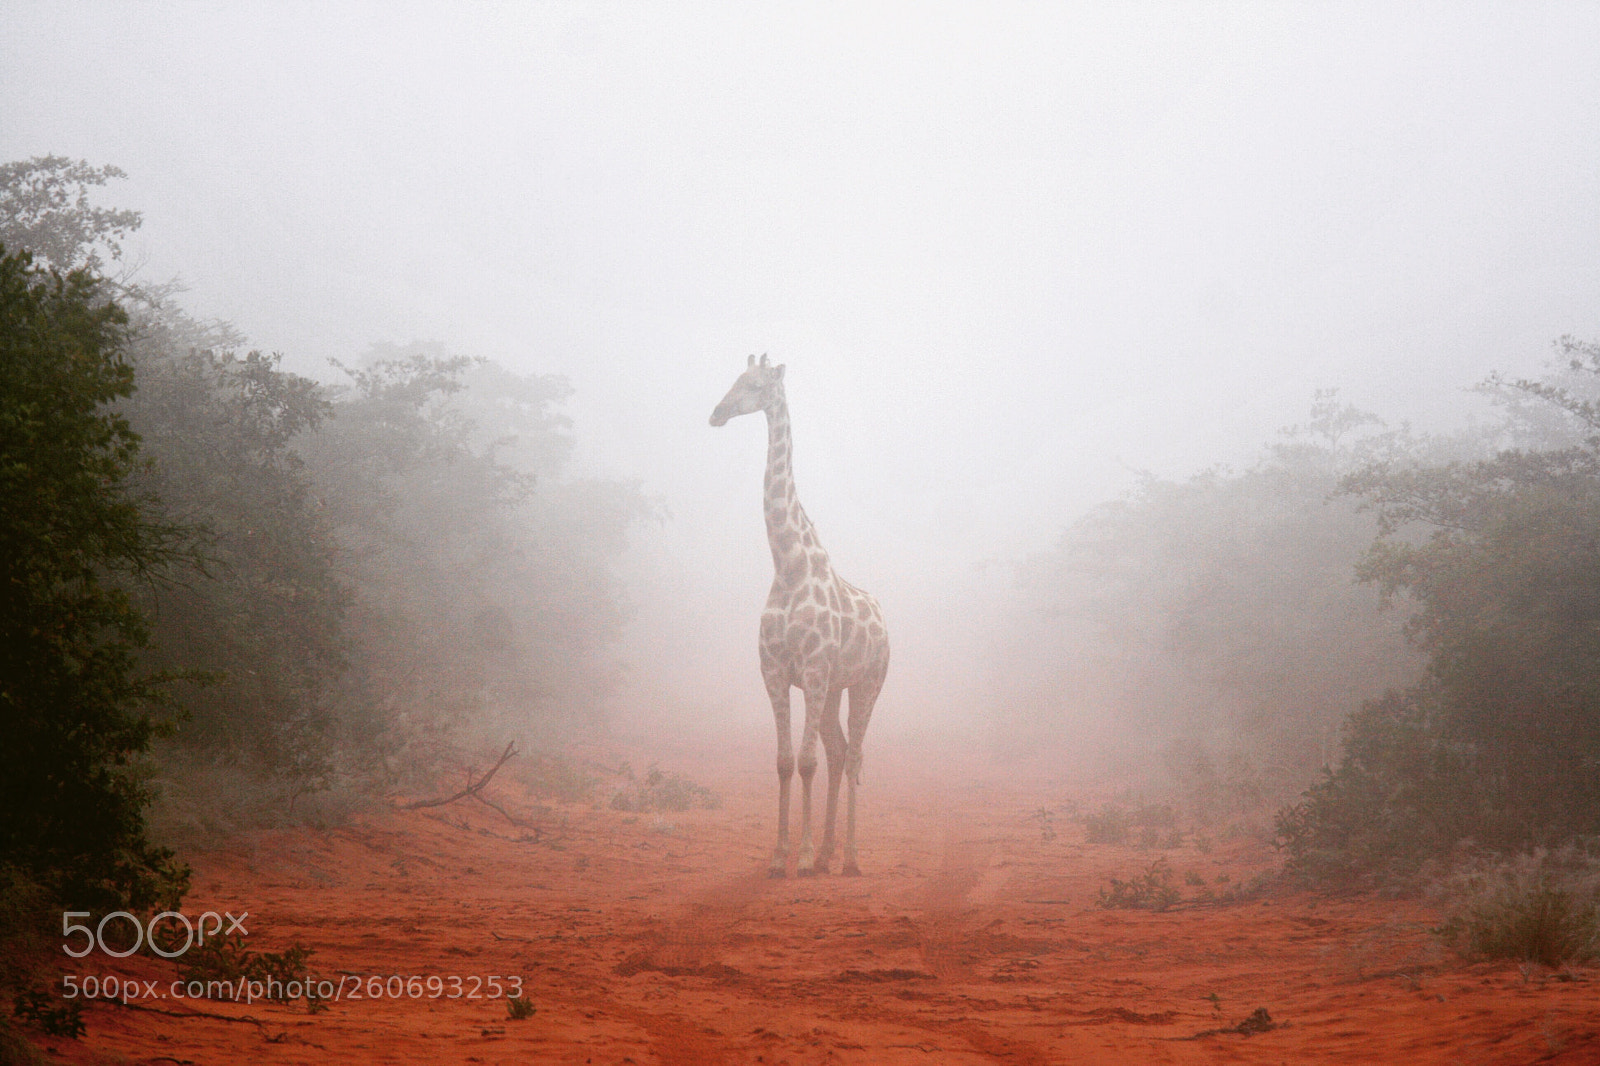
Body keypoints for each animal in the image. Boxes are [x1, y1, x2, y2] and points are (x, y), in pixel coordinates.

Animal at [710, 355, 890, 877]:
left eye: (754, 385)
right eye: (733, 379)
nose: (717, 413)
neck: (788, 565)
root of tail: (886, 624)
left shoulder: (811, 670)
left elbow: (806, 761)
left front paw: (805, 858)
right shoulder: (774, 671)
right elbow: (786, 761)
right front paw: (779, 856)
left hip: (866, 683)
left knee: (855, 756)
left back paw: (848, 857)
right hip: (833, 689)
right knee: (839, 751)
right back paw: (831, 851)